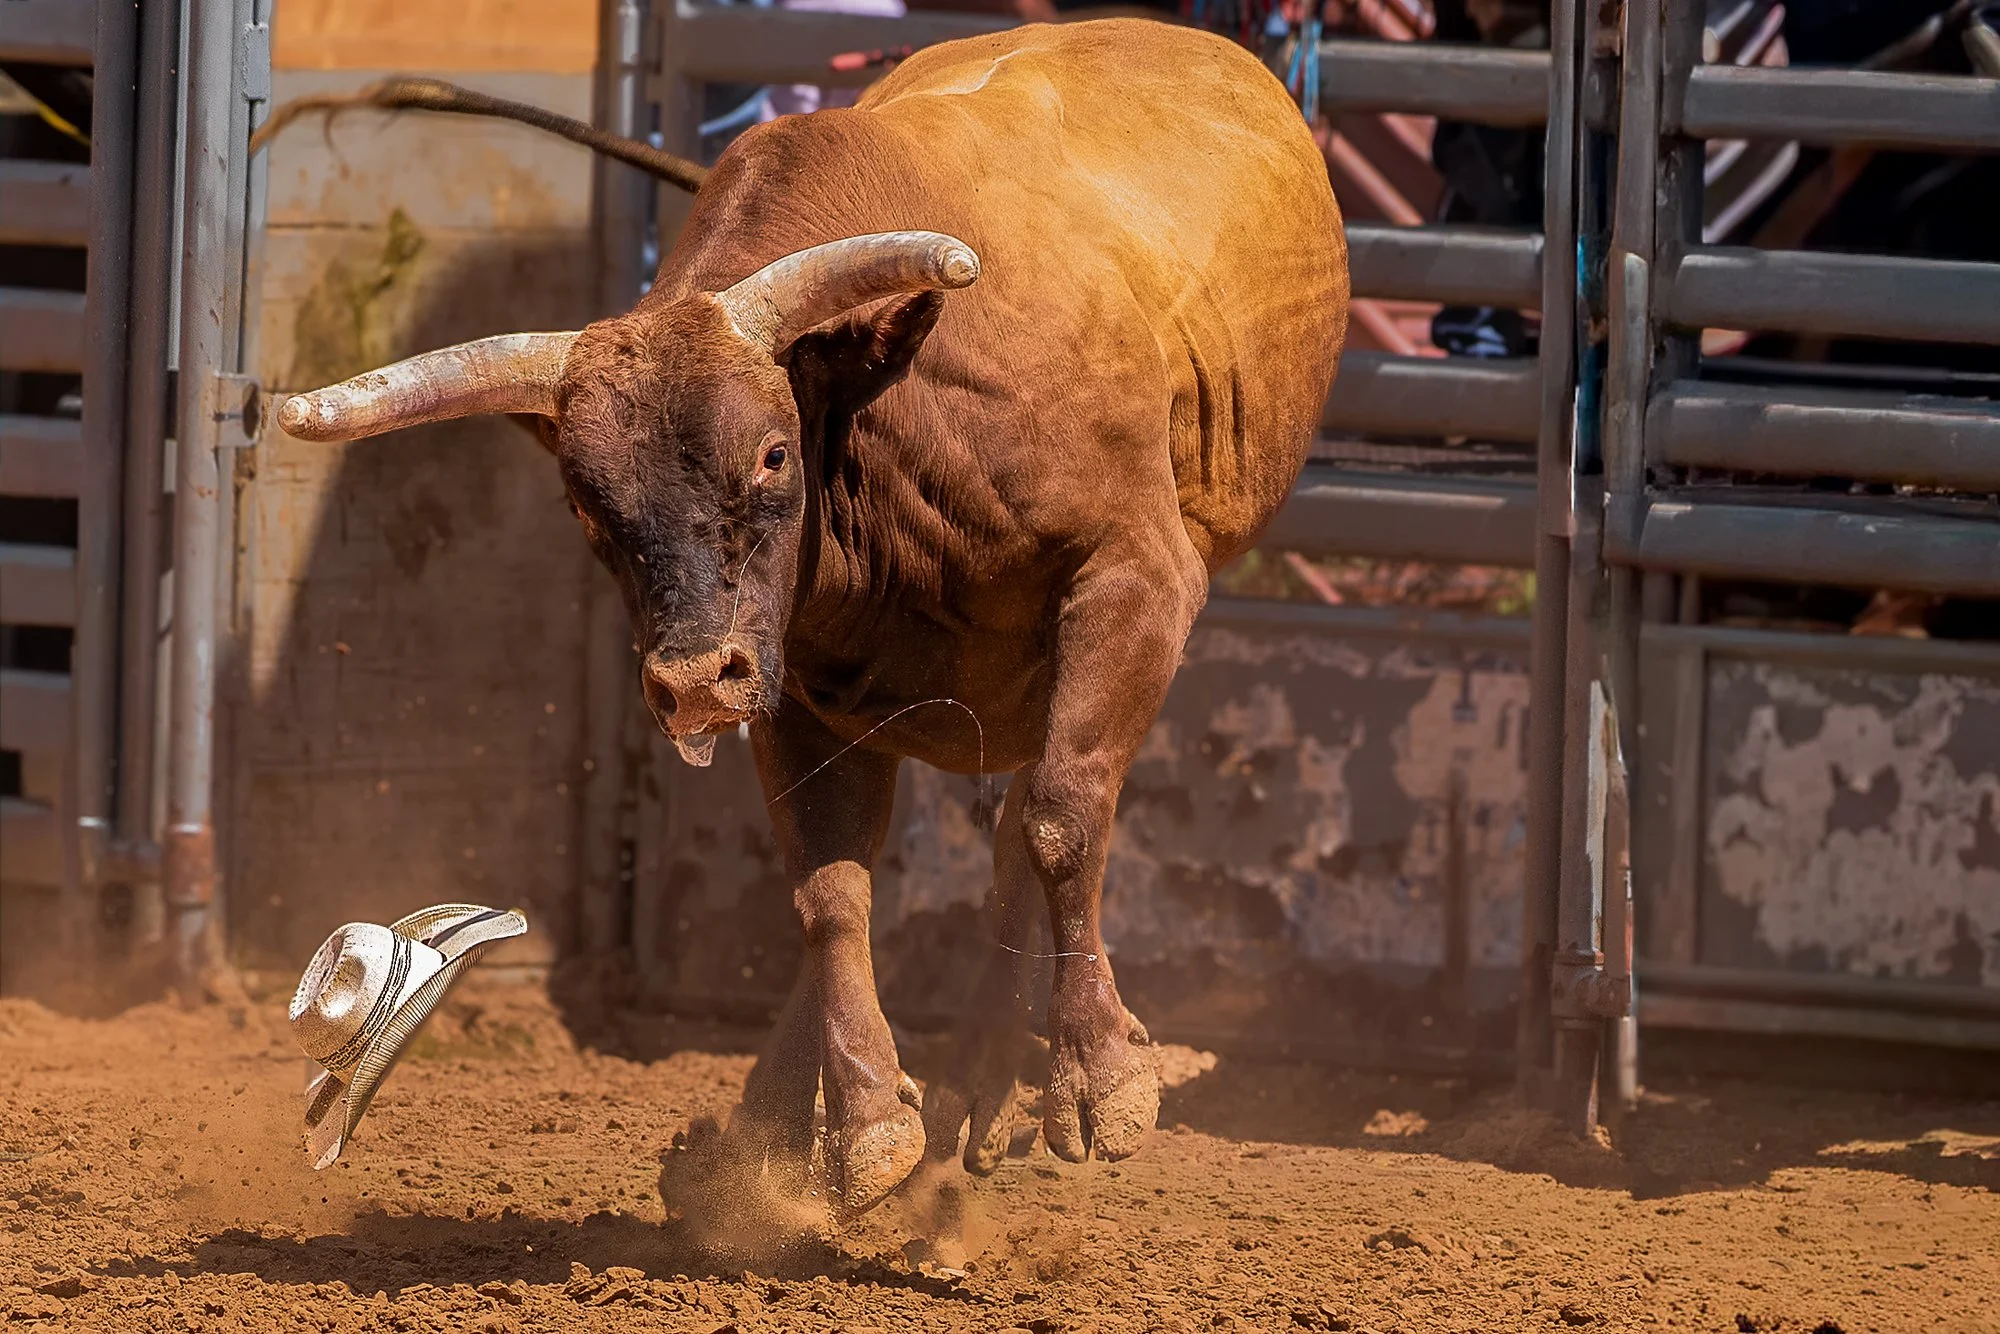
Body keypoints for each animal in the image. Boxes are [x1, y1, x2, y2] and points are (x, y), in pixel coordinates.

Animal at [278, 17, 1348, 1217]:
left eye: (771, 453)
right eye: (586, 503)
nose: (688, 684)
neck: (889, 421)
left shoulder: (1135, 581)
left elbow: (1063, 818)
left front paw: (1099, 1076)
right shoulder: (788, 678)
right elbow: (829, 889)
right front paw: (866, 1117)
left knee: (1031, 816)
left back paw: (984, 1075)